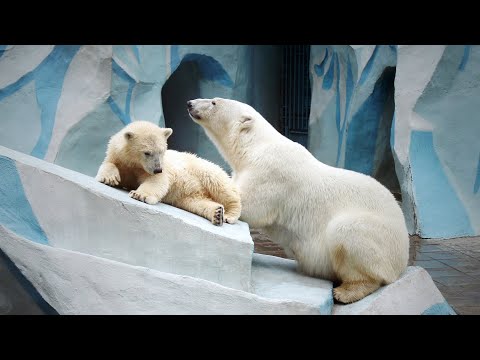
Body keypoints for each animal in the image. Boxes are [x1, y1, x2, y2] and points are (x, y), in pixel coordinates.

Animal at [188, 97, 408, 302]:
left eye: (214, 102)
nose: (190, 103)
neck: (255, 148)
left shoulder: (271, 172)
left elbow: (249, 205)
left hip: (380, 237)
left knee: (349, 232)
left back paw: (346, 292)